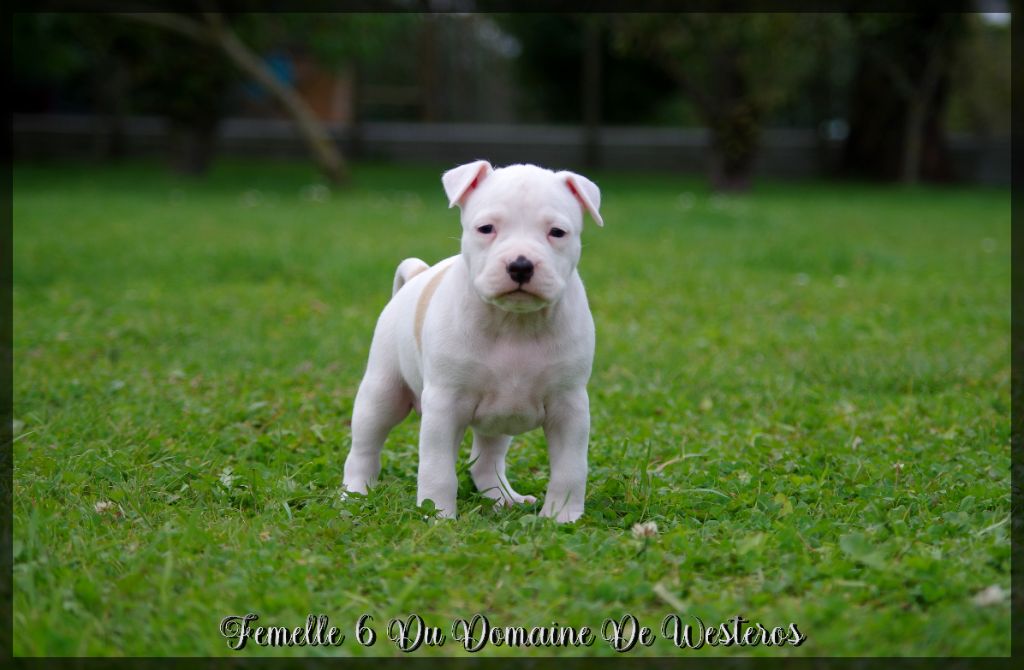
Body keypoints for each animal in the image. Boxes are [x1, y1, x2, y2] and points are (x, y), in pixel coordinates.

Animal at [342, 160, 603, 522]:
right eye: (486, 228)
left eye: (557, 232)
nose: (520, 265)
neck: (514, 322)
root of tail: (416, 276)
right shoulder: (444, 406)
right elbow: (437, 468)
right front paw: (438, 515)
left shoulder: (570, 407)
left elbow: (570, 469)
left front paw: (561, 518)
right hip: (382, 393)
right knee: (365, 447)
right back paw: (354, 492)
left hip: (498, 420)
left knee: (486, 461)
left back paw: (505, 498)